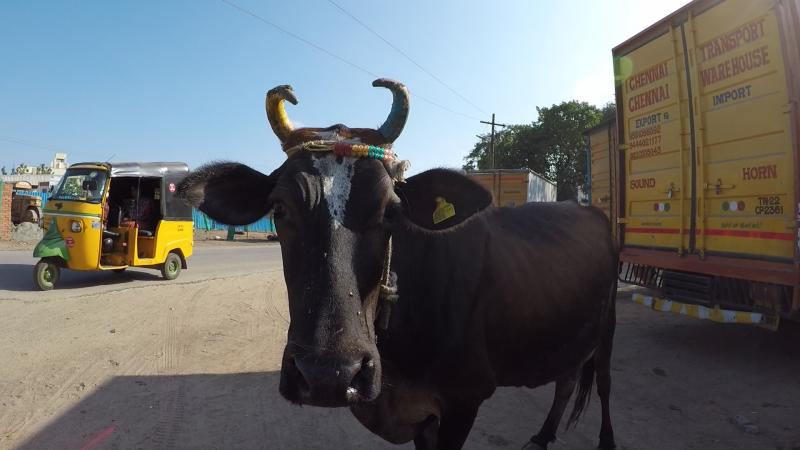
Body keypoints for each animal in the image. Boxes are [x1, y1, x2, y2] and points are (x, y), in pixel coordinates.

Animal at [178, 79, 618, 450]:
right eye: (280, 209)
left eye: (391, 211)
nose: (329, 374)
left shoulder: (464, 401)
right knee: (566, 380)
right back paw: (543, 435)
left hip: (607, 326)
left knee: (602, 384)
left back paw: (605, 441)